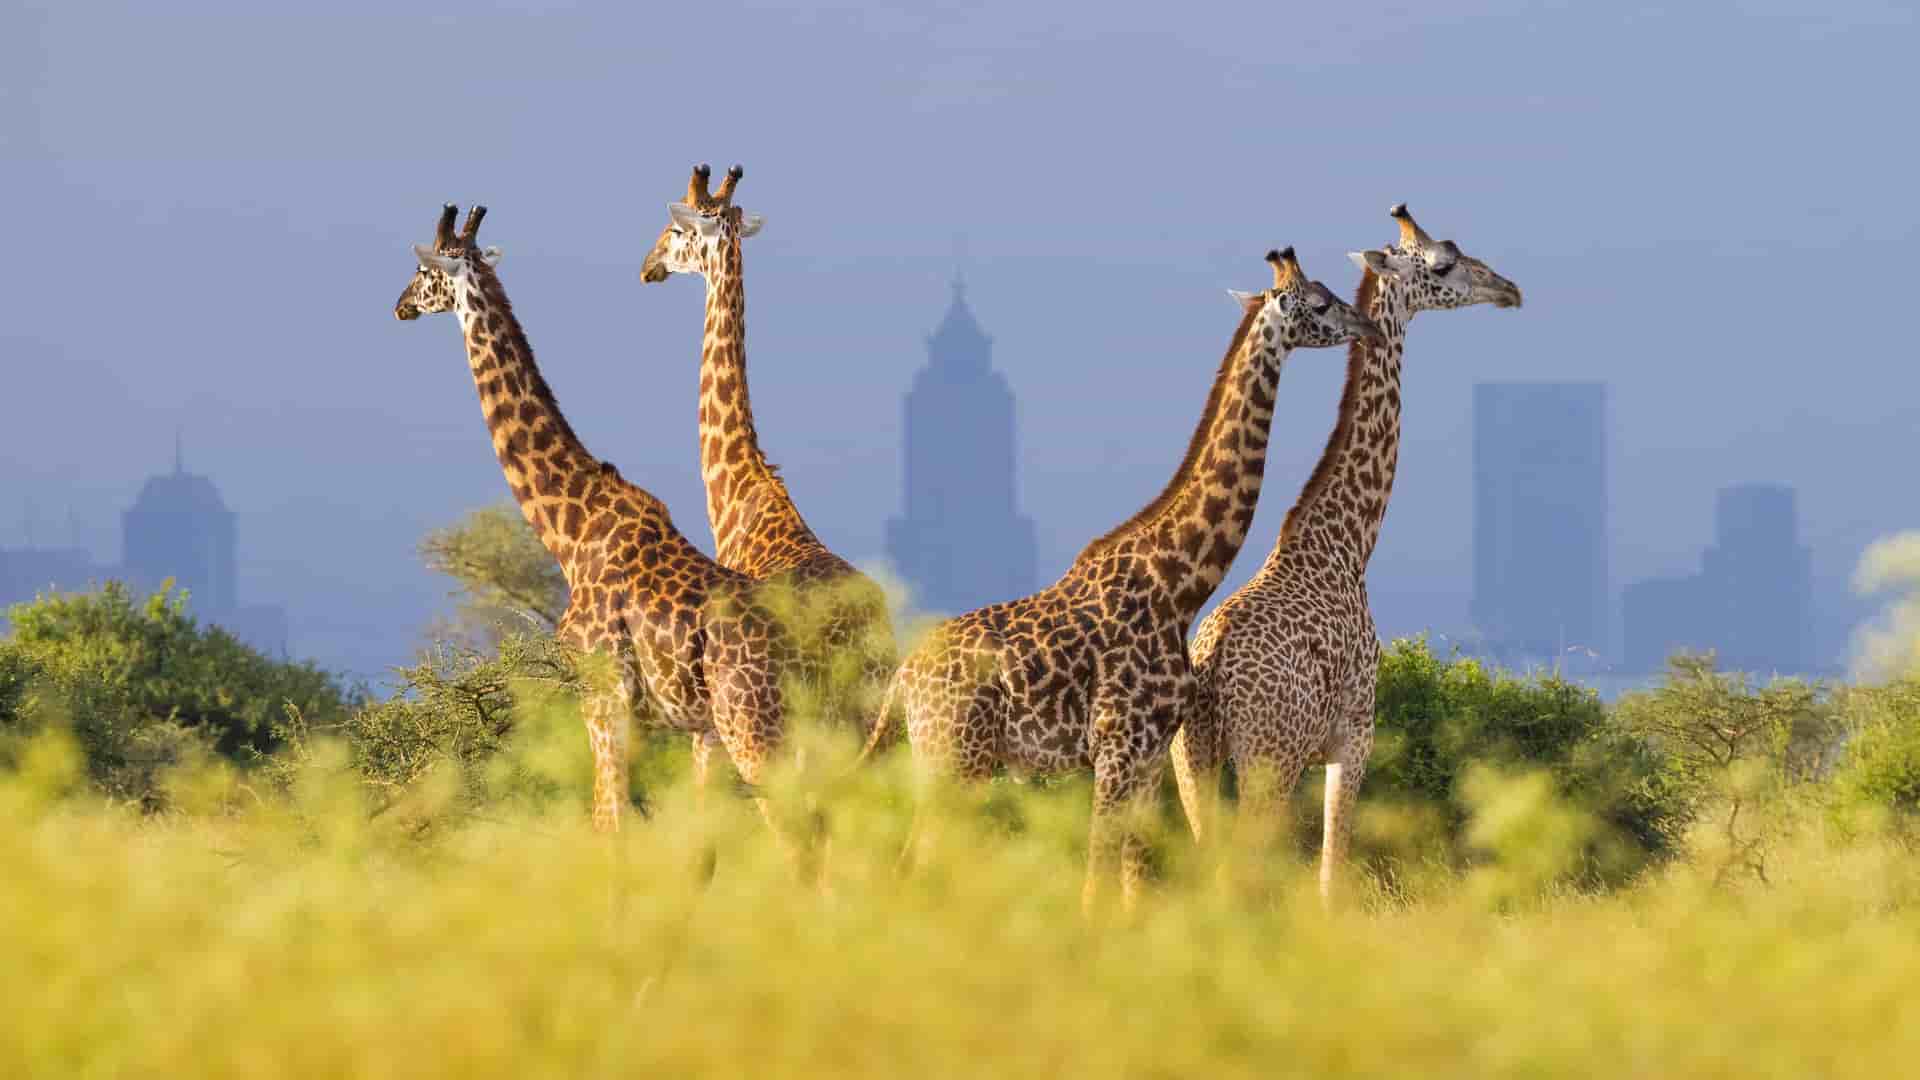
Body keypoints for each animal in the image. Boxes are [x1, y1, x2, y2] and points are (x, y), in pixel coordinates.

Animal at [394, 203, 808, 834]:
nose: (399, 305)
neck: (570, 529)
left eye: (422, 270)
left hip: (750, 725)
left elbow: (606, 821)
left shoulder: (603, 695)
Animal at [864, 249, 1383, 908]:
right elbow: (1095, 881)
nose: (1365, 327)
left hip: (950, 758)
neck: (1179, 583)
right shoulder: (1116, 747)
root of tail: (903, 677)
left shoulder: (1150, 754)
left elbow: (1133, 881)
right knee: (912, 863)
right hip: (954, 757)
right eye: (1318, 302)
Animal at [1169, 204, 1523, 901]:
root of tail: (1213, 667)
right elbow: (1333, 874)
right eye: (1445, 263)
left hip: (1192, 760)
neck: (1348, 544)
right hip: (1266, 759)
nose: (1508, 289)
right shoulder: (1356, 733)